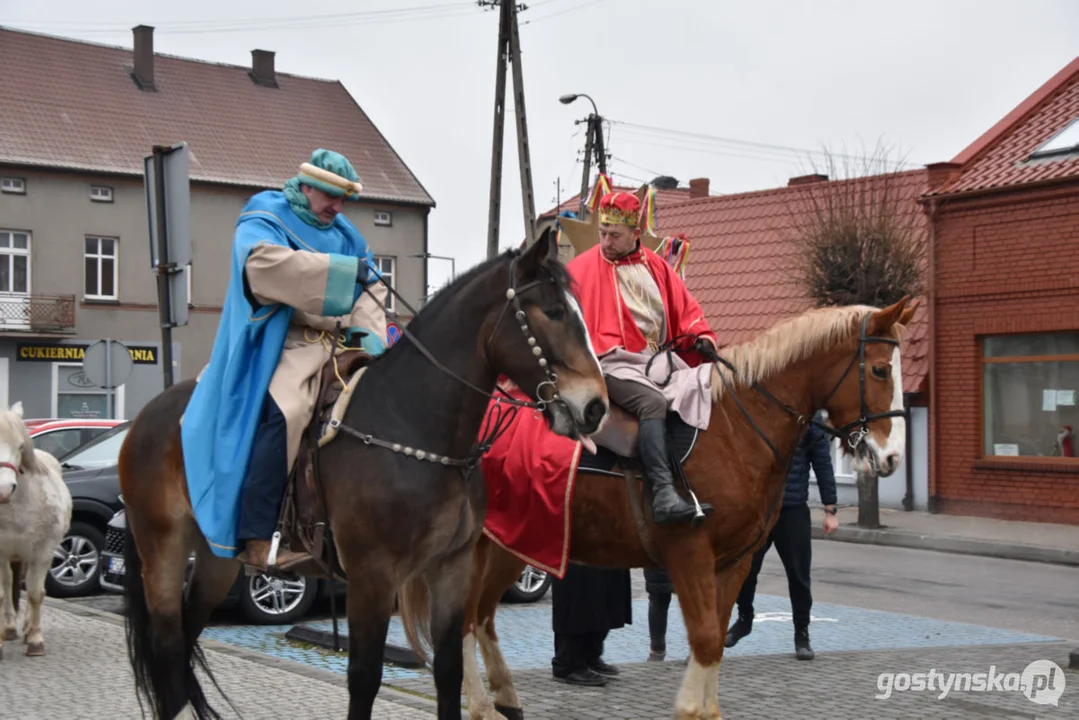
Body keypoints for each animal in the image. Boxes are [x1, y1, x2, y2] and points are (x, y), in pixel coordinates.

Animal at [0, 399, 71, 660]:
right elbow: (2, 594)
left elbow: (35, 594)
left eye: (21, 446)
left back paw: (27, 628)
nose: (3, 490)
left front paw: (35, 641)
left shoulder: (42, 551)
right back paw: (10, 628)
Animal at [117, 231, 612, 720]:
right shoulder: (372, 576)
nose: (596, 408)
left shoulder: (451, 569)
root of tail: (143, 420)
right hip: (163, 547)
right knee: (168, 649)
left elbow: (448, 671)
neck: (414, 427)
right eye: (553, 311)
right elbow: (364, 678)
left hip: (218, 556)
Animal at [416, 295, 914, 716]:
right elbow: (707, 637)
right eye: (880, 371)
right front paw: (691, 708)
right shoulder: (688, 553)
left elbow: (714, 640)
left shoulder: (733, 561)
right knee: (464, 621)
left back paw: (504, 698)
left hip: (517, 542)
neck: (734, 428)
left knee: (480, 617)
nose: (892, 458)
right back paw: (483, 706)